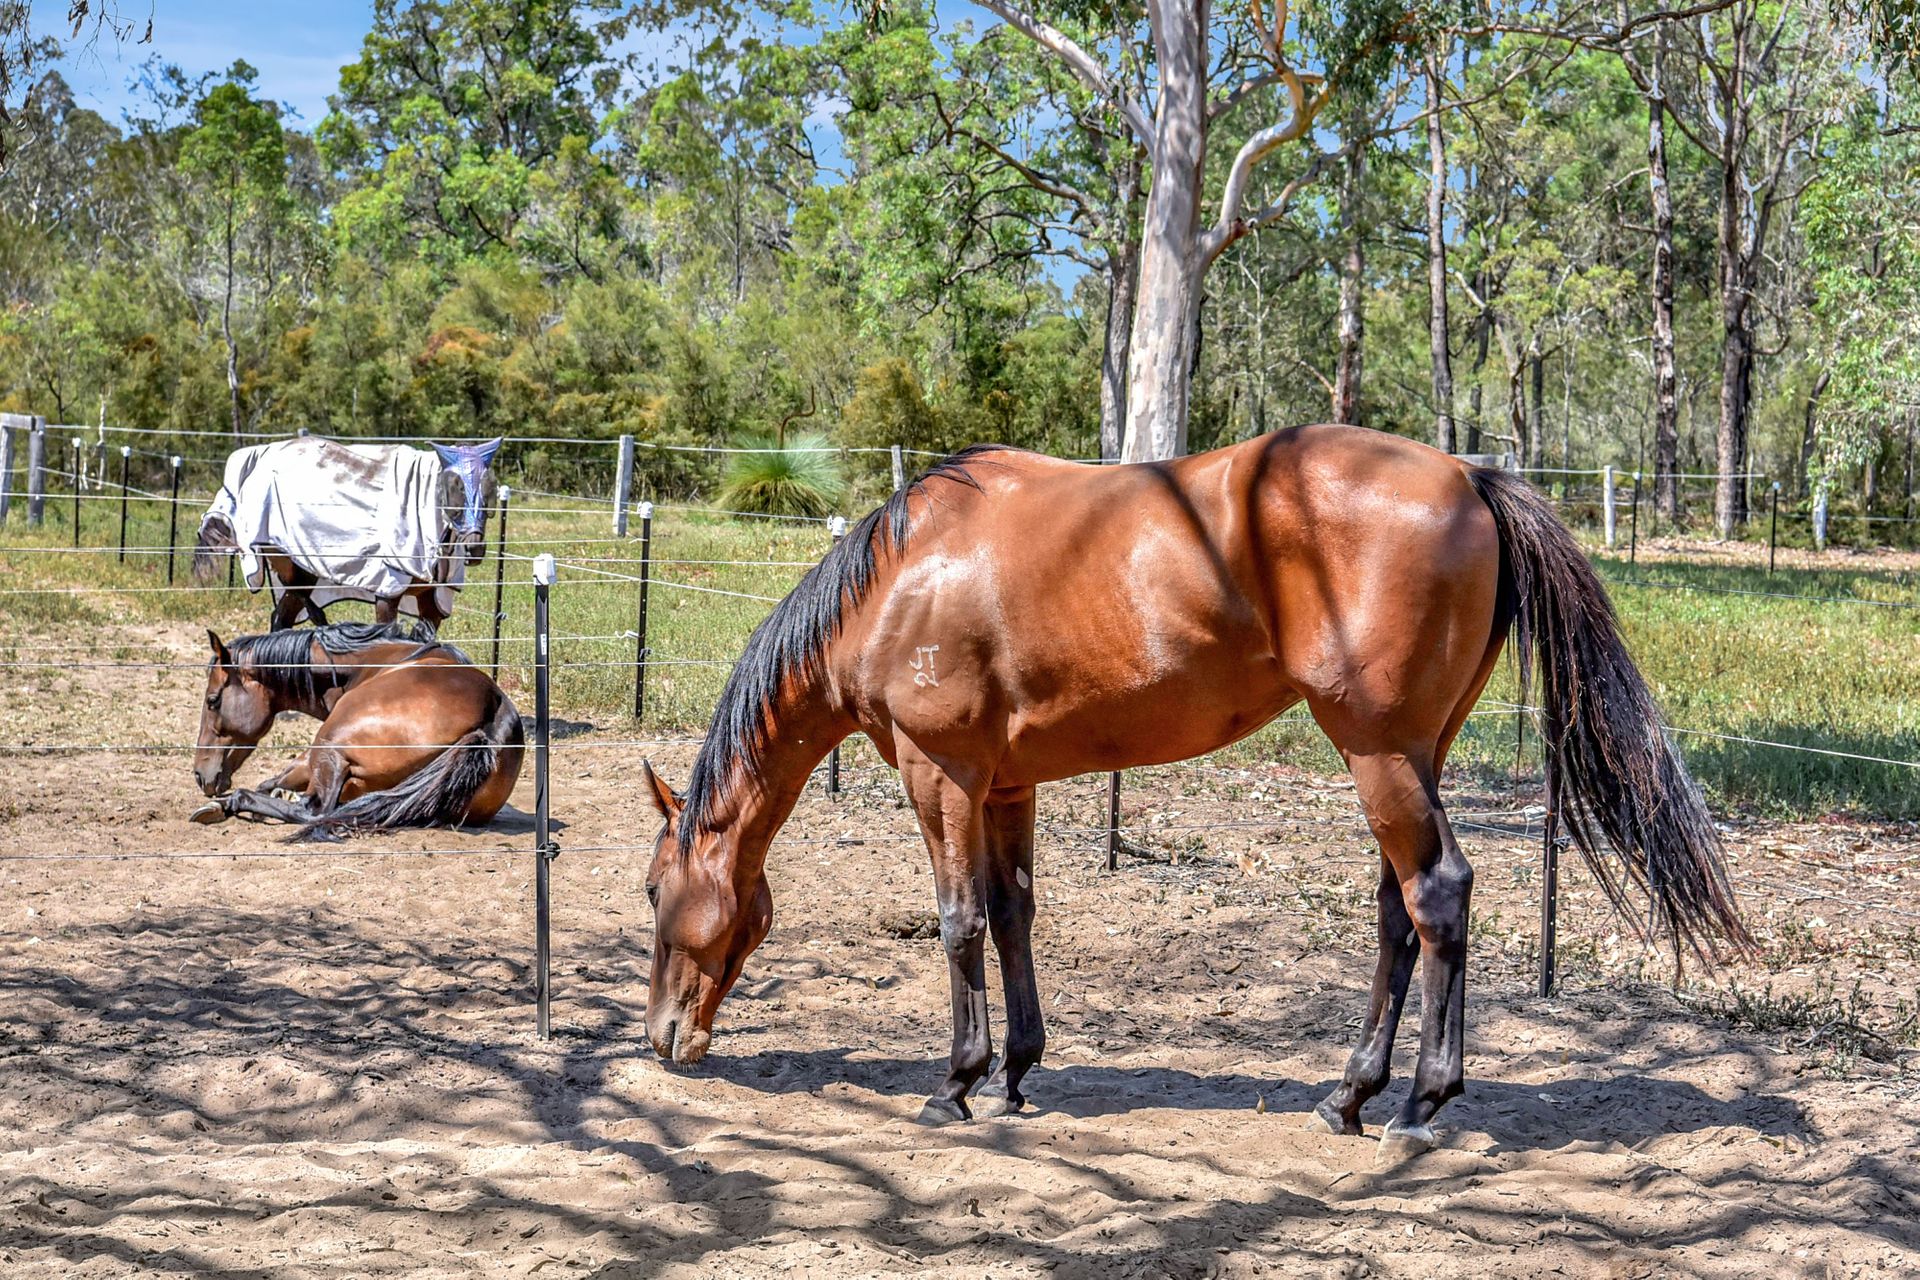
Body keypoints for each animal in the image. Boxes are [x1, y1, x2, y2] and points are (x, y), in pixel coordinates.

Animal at [190, 621, 522, 840]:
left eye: (212, 701)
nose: (200, 774)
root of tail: (492, 712)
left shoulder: (312, 757)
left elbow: (270, 783)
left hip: (328, 748)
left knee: (315, 809)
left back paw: (234, 801)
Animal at [637, 427, 1751, 1151]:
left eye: (653, 891)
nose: (665, 1039)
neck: (903, 576)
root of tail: (1471, 476)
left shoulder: (939, 774)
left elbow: (958, 924)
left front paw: (954, 1083)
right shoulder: (1005, 786)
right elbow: (1013, 916)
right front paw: (1016, 1073)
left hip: (1381, 754)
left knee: (1439, 896)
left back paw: (1421, 1106)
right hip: (1411, 757)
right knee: (1399, 910)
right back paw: (1351, 1093)